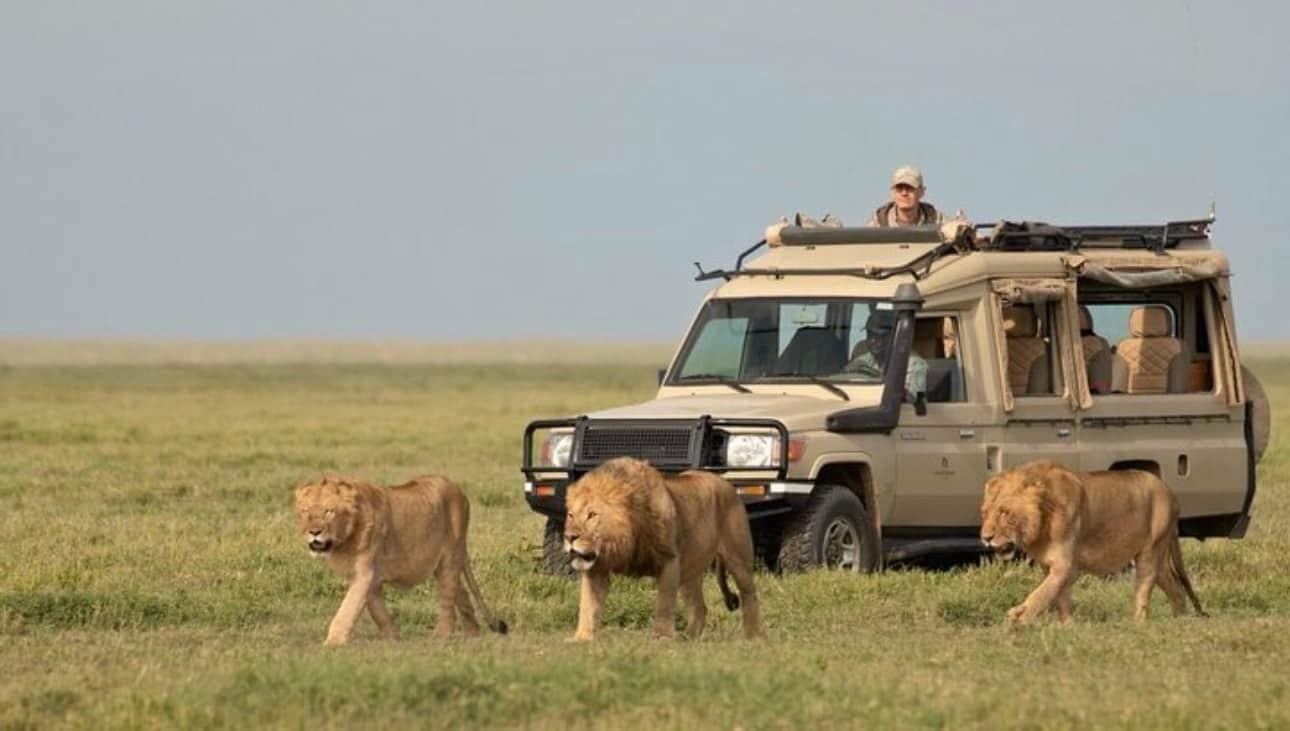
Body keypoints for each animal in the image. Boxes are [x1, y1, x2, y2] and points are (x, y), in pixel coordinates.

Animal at [293, 474, 507, 645]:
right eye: (305, 511)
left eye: (329, 511)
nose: (314, 532)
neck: (344, 540)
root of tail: (458, 490)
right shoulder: (370, 578)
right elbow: (378, 612)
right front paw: (392, 639)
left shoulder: (364, 573)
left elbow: (347, 609)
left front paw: (332, 643)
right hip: (444, 564)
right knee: (460, 591)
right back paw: (473, 634)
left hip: (450, 556)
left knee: (448, 600)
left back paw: (439, 637)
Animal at [562, 457, 762, 641]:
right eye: (571, 515)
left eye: (592, 515)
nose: (569, 537)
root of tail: (727, 483)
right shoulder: (597, 568)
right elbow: (588, 605)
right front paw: (581, 638)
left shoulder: (669, 559)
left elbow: (664, 603)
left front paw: (662, 637)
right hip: (689, 571)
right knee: (699, 607)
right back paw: (688, 638)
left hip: (738, 559)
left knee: (750, 596)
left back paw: (752, 638)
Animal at [980, 461, 1206, 624]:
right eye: (985, 513)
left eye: (1004, 513)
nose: (985, 538)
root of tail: (1170, 492)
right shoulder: (1051, 566)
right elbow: (1059, 595)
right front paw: (1067, 627)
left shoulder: (1064, 564)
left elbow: (1042, 593)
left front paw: (1019, 618)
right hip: (1158, 558)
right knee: (1176, 589)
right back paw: (1179, 621)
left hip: (1150, 551)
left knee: (1144, 587)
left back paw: (1138, 624)